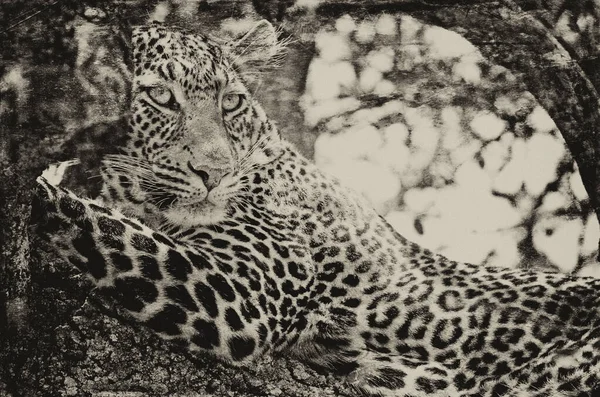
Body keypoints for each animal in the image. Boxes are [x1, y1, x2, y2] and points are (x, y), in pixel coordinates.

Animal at [35, 20, 600, 396]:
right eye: (160, 98)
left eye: (230, 103)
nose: (216, 172)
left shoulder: (238, 296)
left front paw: (41, 191)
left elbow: (108, 229)